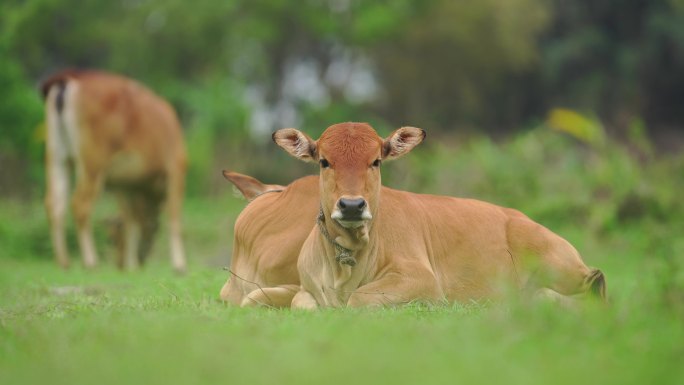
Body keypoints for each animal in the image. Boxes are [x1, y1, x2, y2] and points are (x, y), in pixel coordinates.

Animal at [42, 70, 187, 272]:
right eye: (111, 240)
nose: (119, 264)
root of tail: (67, 80)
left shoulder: (124, 184)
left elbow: (130, 219)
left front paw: (131, 264)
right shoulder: (176, 168)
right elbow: (174, 216)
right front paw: (179, 264)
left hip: (57, 156)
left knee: (54, 203)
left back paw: (63, 261)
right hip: (92, 163)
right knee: (80, 204)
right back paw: (90, 261)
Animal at [272, 121, 604, 308]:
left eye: (376, 161)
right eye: (324, 161)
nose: (352, 206)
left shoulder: (423, 280)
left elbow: (358, 299)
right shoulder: (305, 289)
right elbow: (300, 303)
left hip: (561, 268)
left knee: (595, 283)